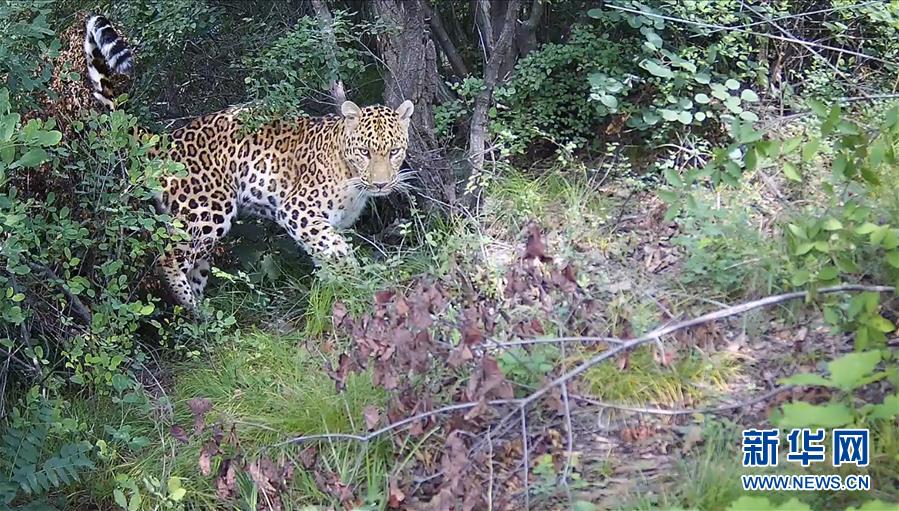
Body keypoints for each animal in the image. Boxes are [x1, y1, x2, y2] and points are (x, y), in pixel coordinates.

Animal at [60, 15, 418, 312]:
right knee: (167, 257)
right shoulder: (297, 210)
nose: (382, 184)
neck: (351, 174)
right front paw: (356, 281)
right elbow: (337, 249)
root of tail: (165, 140)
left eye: (394, 151)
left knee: (194, 267)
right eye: (365, 152)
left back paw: (198, 318)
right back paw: (195, 309)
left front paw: (337, 290)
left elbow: (326, 254)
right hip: (207, 211)